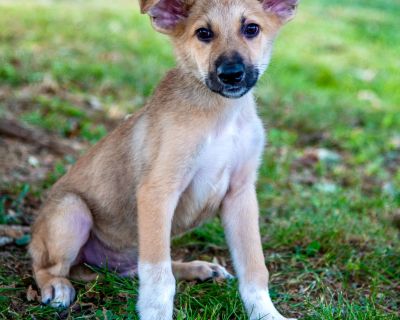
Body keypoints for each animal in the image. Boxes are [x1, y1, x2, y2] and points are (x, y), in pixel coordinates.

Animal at [28, 1, 296, 318]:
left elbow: (254, 268)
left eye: (251, 28)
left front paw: (266, 312)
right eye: (203, 33)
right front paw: (156, 312)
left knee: (138, 269)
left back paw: (198, 269)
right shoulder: (158, 190)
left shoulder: (240, 194)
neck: (220, 114)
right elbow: (158, 277)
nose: (231, 74)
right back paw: (56, 286)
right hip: (71, 211)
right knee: (48, 266)